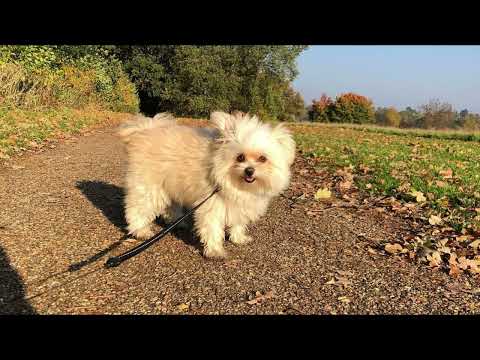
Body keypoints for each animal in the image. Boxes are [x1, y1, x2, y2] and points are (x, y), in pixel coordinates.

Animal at [117, 111, 294, 258]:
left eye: (263, 159)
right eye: (240, 157)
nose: (249, 171)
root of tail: (143, 131)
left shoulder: (239, 206)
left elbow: (237, 223)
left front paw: (238, 238)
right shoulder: (212, 206)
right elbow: (213, 228)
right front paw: (215, 251)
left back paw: (177, 222)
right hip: (149, 187)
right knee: (137, 208)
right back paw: (141, 231)